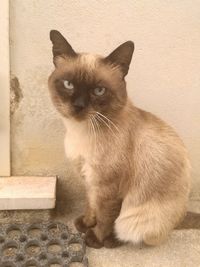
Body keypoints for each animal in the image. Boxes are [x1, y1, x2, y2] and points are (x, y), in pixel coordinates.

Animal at [48, 30, 191, 250]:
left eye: (98, 91)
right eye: (68, 85)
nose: (79, 106)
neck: (80, 132)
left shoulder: (109, 188)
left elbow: (105, 216)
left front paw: (95, 238)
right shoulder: (89, 179)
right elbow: (91, 205)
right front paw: (86, 224)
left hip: (134, 218)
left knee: (128, 228)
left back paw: (111, 240)